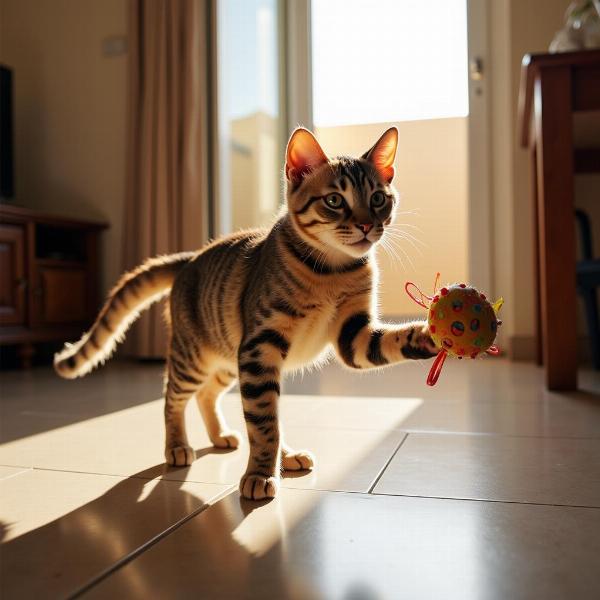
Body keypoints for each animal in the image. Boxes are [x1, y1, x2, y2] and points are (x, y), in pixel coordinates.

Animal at [55, 127, 436, 502]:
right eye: (334, 201)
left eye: (378, 199)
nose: (367, 226)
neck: (334, 270)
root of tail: (190, 258)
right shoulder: (260, 345)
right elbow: (265, 425)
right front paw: (259, 475)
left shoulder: (352, 335)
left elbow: (390, 342)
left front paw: (431, 334)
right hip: (196, 357)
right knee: (172, 397)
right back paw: (177, 446)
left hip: (228, 357)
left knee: (209, 395)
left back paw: (235, 440)